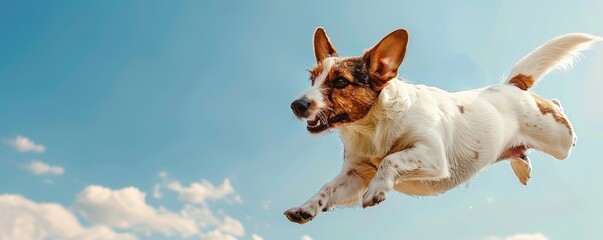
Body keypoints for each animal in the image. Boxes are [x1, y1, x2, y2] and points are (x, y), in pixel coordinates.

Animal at [286, 27, 600, 224]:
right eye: (312, 78)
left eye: (341, 82)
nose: (296, 105)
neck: (372, 128)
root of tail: (512, 85)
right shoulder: (354, 176)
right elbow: (326, 189)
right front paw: (305, 208)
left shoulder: (432, 156)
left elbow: (390, 159)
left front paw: (377, 190)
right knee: (522, 150)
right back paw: (522, 167)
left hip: (558, 140)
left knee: (560, 111)